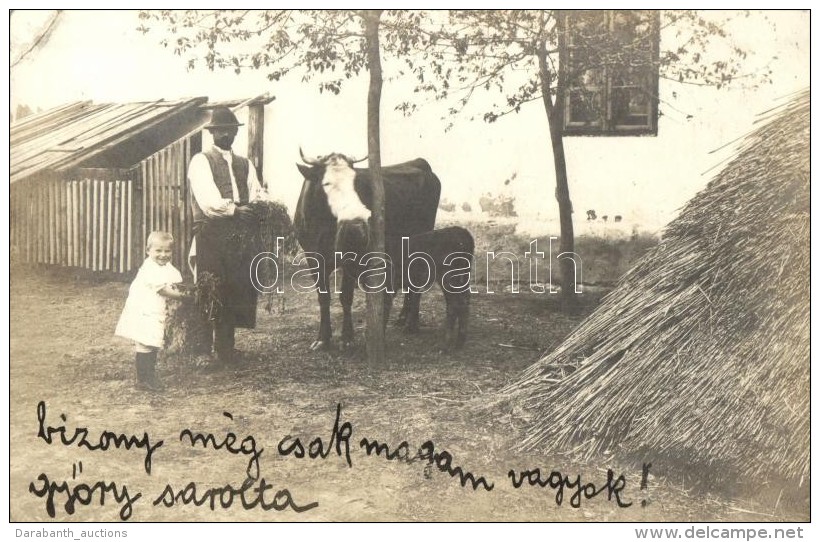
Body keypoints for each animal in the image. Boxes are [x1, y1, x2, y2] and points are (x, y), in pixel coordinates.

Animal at [292, 151, 438, 350]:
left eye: (356, 183)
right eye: (326, 183)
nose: (356, 224)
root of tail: (420, 163)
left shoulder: (350, 257)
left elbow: (346, 297)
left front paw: (347, 338)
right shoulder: (313, 257)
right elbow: (323, 297)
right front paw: (322, 338)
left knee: (418, 279)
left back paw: (411, 324)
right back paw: (403, 317)